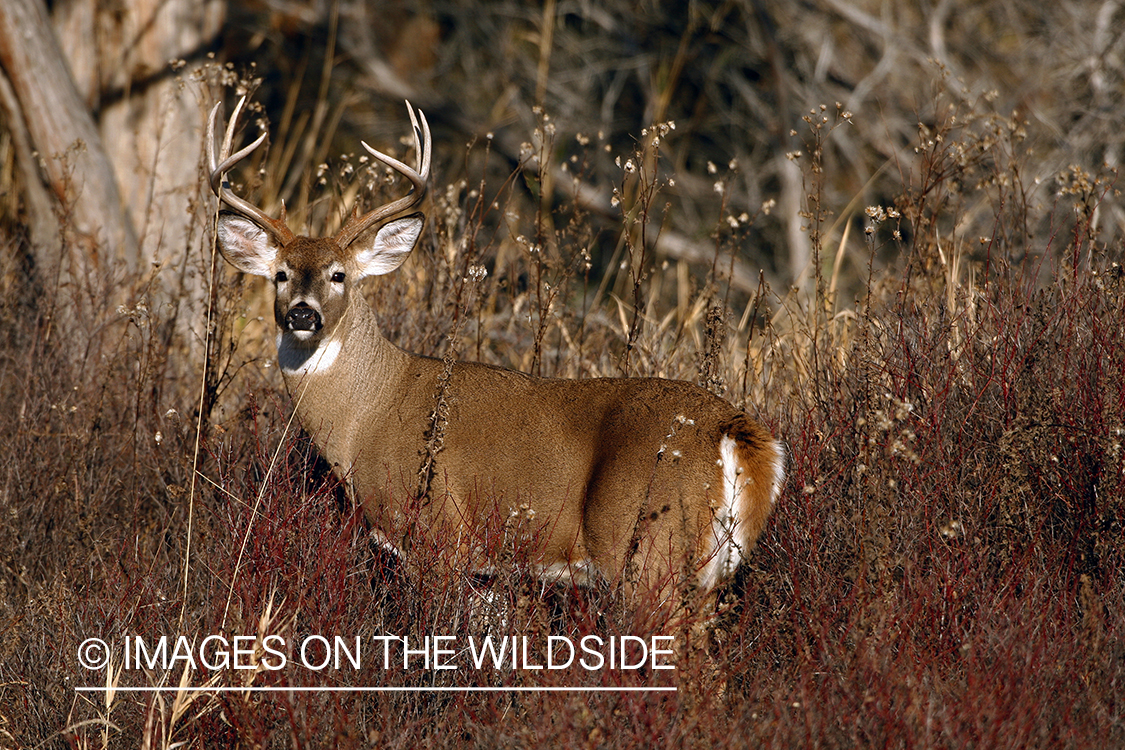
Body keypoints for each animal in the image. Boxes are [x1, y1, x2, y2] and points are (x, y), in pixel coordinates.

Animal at [207, 96, 783, 620]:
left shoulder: (439, 532)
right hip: (706, 573)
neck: (365, 416)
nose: (302, 314)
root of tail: (737, 431)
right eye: (281, 274)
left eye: (338, 275)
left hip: (647, 552)